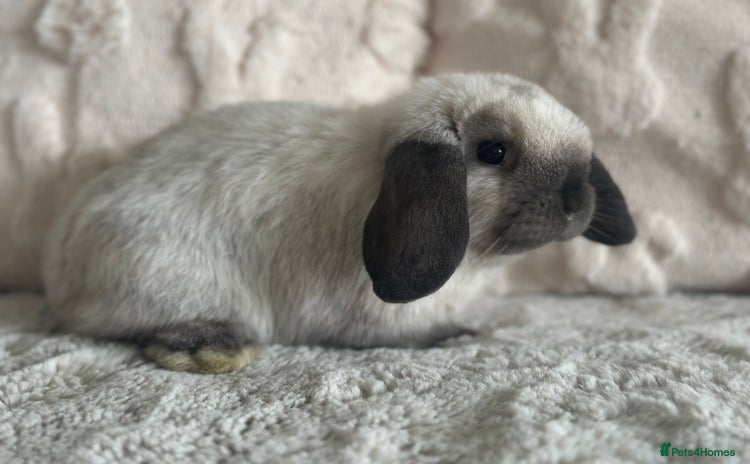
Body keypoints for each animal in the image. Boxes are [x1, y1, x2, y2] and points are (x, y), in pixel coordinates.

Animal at [43, 73, 636, 374]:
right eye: (493, 152)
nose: (575, 200)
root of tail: (64, 275)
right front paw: (462, 332)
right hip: (176, 278)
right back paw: (215, 349)